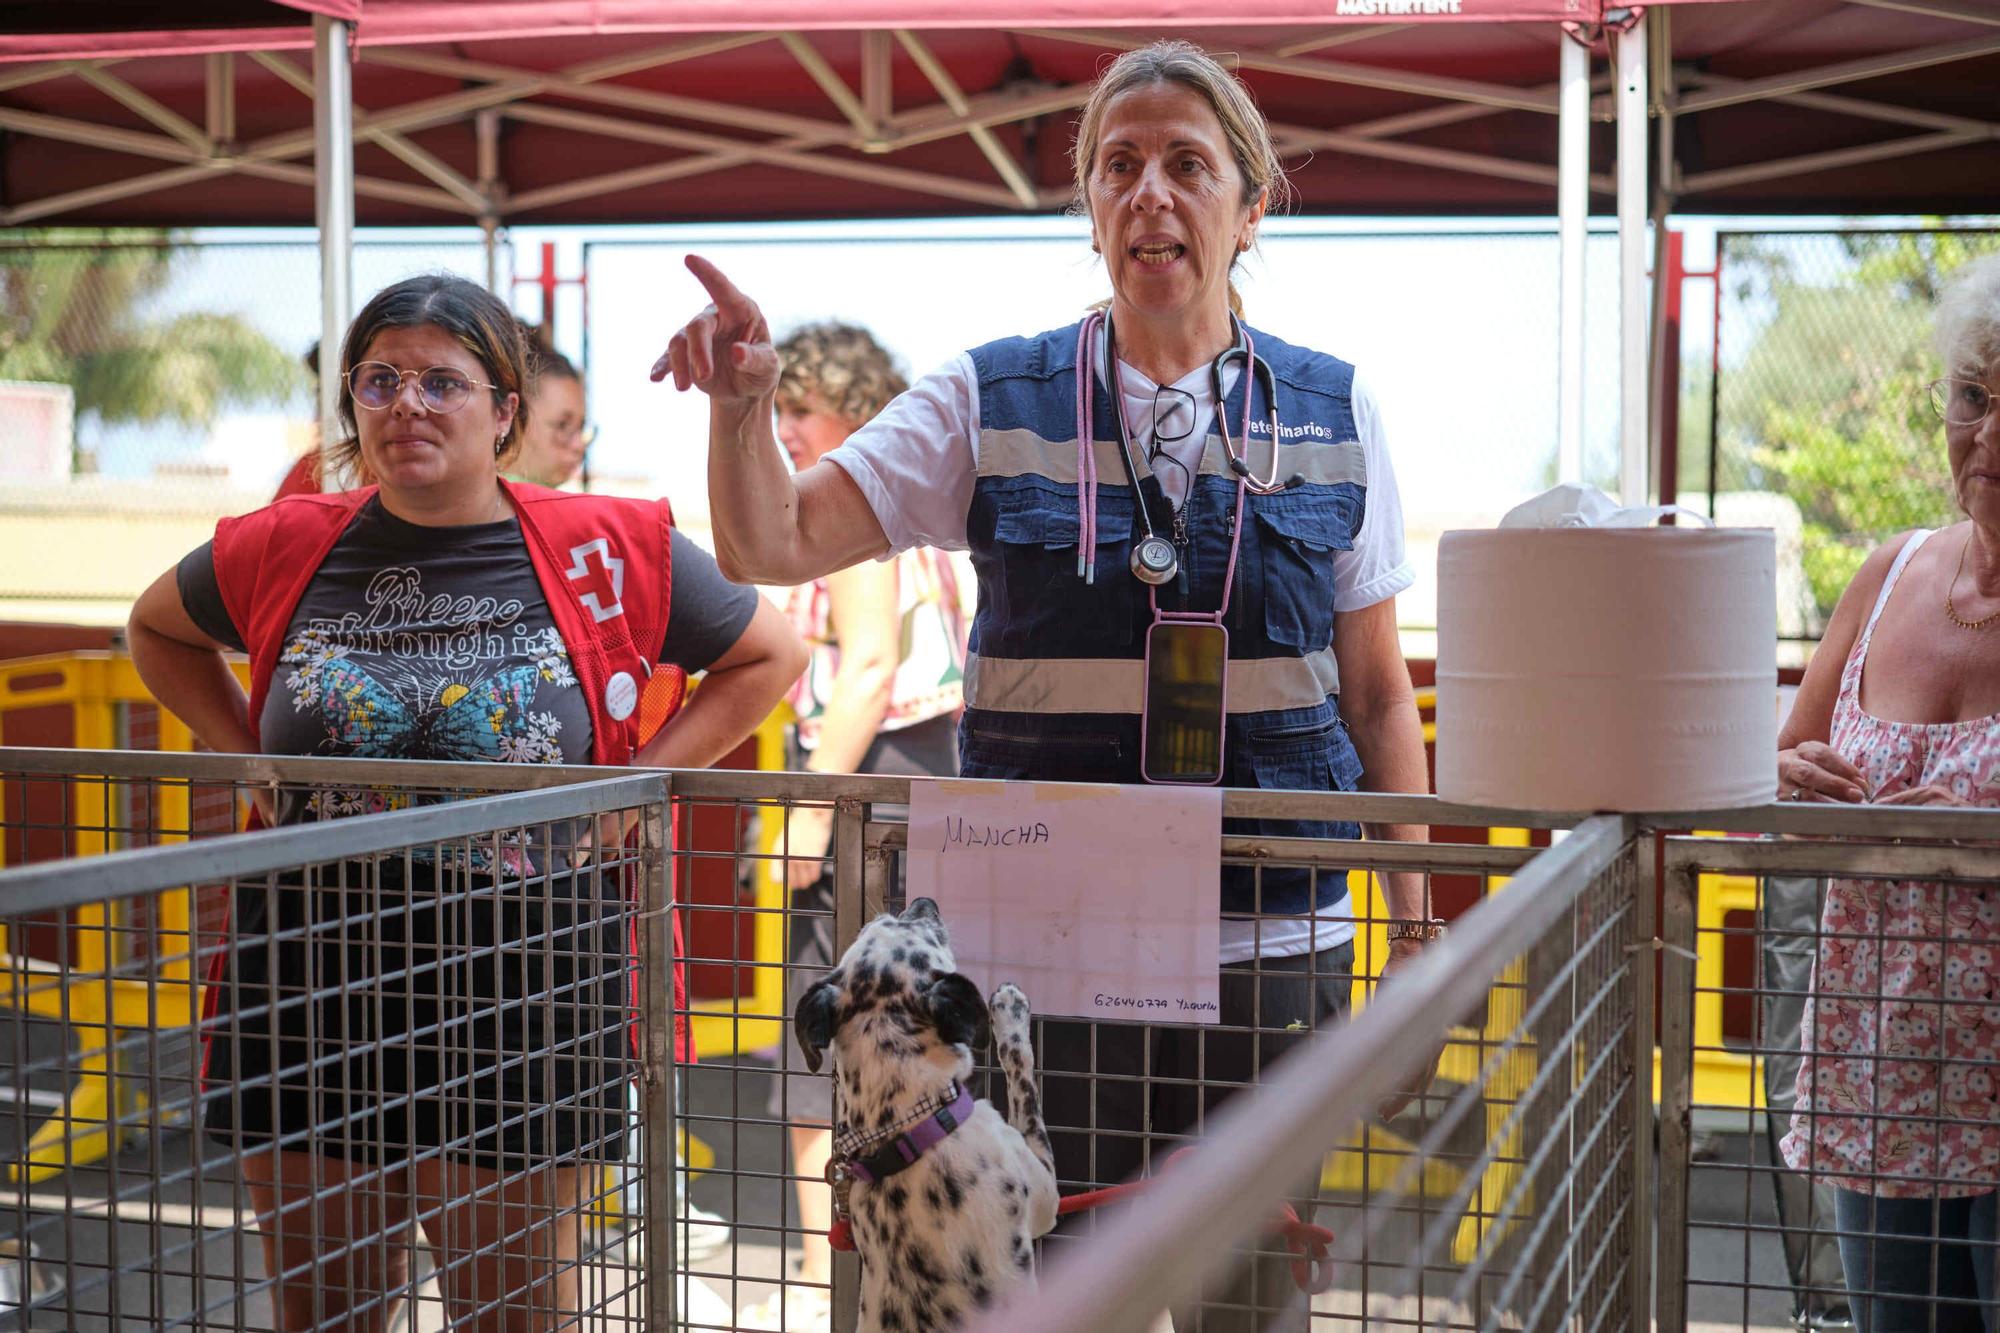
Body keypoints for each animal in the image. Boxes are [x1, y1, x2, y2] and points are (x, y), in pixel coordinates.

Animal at [792, 892, 1064, 1328]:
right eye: (921, 933)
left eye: (871, 927)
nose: (922, 902)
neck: (905, 1128)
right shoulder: (1043, 1193)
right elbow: (1023, 1079)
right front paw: (1010, 1009)